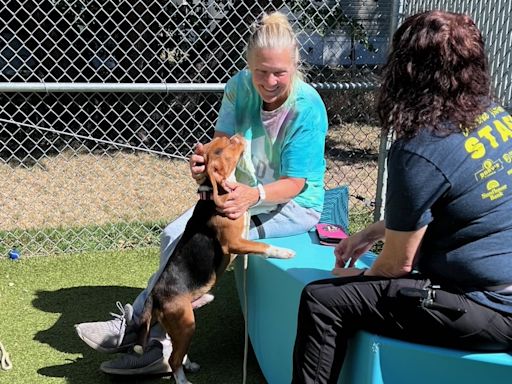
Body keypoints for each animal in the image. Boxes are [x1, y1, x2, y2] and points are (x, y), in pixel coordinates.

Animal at [136, 134, 294, 382]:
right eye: (219, 150)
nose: (237, 136)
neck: (214, 192)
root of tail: (155, 294)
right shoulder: (235, 243)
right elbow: (261, 245)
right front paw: (284, 252)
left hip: (181, 323)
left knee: (174, 348)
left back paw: (188, 364)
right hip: (185, 323)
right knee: (172, 359)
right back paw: (183, 378)